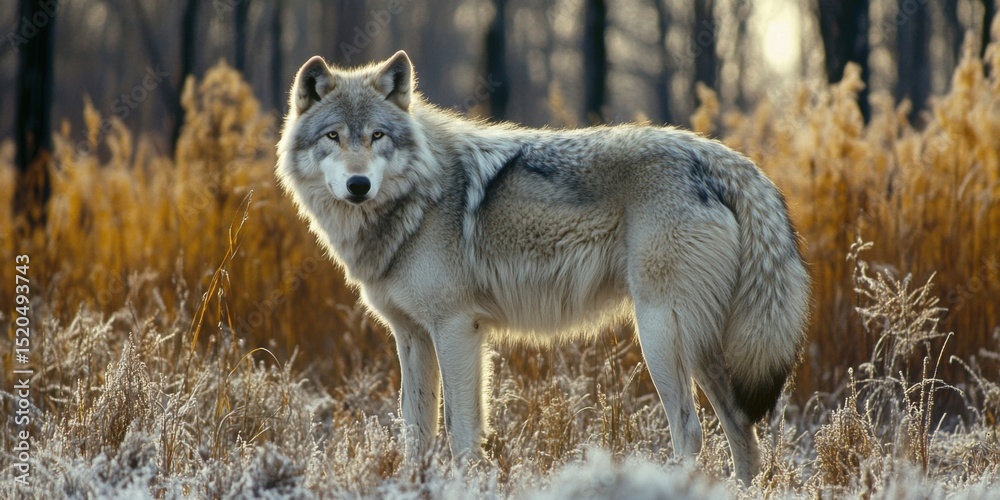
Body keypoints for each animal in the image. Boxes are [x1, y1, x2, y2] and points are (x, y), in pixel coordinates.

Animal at [276, 51, 810, 485]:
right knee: (740, 425)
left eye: (377, 136)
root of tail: (716, 155)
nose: (358, 185)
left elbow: (460, 431)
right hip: (698, 343)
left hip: (662, 334)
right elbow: (416, 431)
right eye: (333, 136)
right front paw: (415, 484)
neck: (417, 200)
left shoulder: (456, 328)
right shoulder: (411, 337)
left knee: (692, 430)